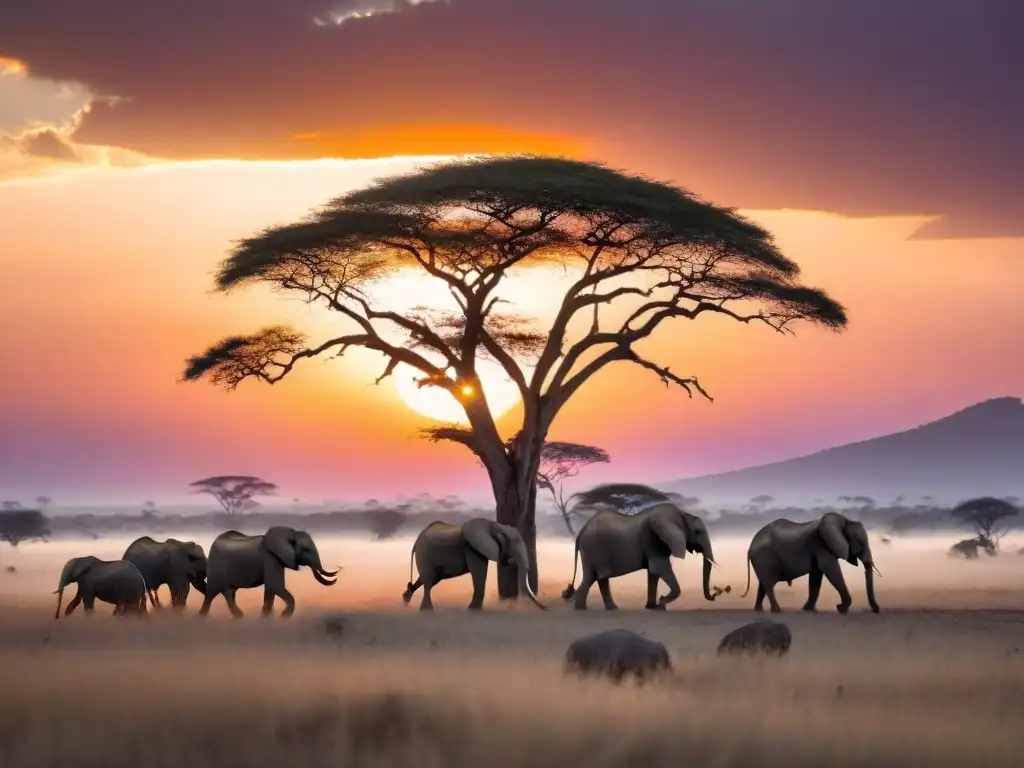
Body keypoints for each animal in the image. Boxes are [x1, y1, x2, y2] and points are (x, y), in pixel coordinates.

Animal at [198, 528, 339, 618]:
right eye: (306, 550)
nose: (337, 571)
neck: (290, 533)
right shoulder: (271, 558)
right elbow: (275, 586)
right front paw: (283, 617)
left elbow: (271, 590)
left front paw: (266, 620)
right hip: (215, 566)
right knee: (213, 592)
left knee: (227, 593)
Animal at [399, 518, 548, 614]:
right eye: (515, 542)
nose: (546, 608)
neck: (495, 525)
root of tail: (416, 541)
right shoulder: (472, 548)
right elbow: (479, 572)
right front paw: (473, 610)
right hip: (424, 555)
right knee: (428, 580)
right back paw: (426, 611)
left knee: (429, 580)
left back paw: (406, 598)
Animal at [557, 505, 716, 614]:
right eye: (697, 532)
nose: (715, 594)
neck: (683, 514)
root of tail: (581, 532)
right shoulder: (654, 540)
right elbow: (659, 568)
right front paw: (661, 604)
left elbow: (653, 573)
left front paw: (652, 607)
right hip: (594, 548)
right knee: (595, 577)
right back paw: (585, 609)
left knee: (595, 578)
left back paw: (603, 608)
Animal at [741, 514, 884, 618]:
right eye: (860, 542)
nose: (876, 610)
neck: (844, 520)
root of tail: (750, 547)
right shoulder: (820, 545)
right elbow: (831, 570)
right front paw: (842, 608)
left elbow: (816, 576)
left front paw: (808, 610)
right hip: (765, 558)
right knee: (769, 584)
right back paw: (777, 611)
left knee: (763, 584)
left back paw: (758, 610)